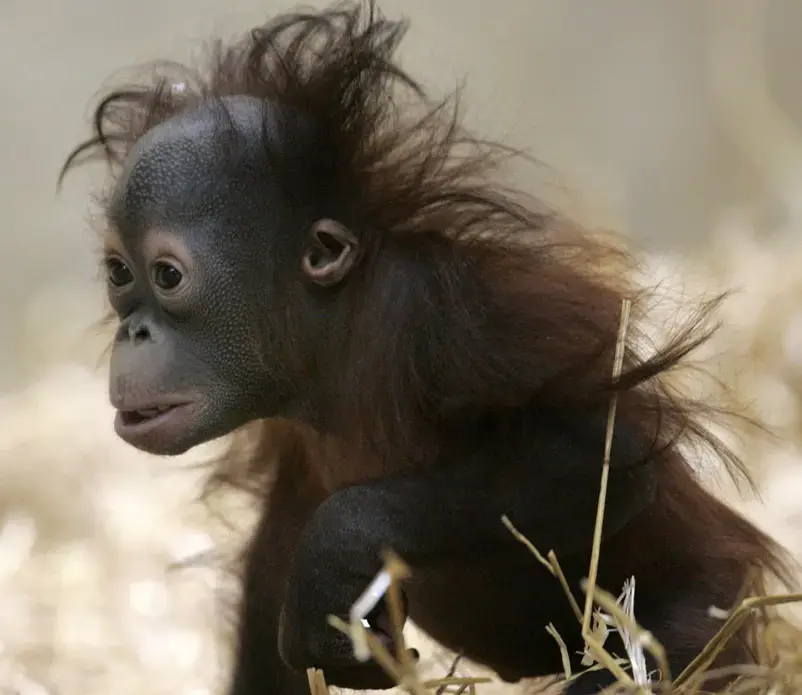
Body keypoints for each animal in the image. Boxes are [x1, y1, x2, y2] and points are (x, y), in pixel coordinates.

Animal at [58, 2, 795, 693]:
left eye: (167, 276)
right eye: (119, 274)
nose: (133, 330)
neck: (337, 337)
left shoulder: (443, 319)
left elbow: (599, 450)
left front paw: (335, 554)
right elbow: (271, 575)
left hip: (698, 621)